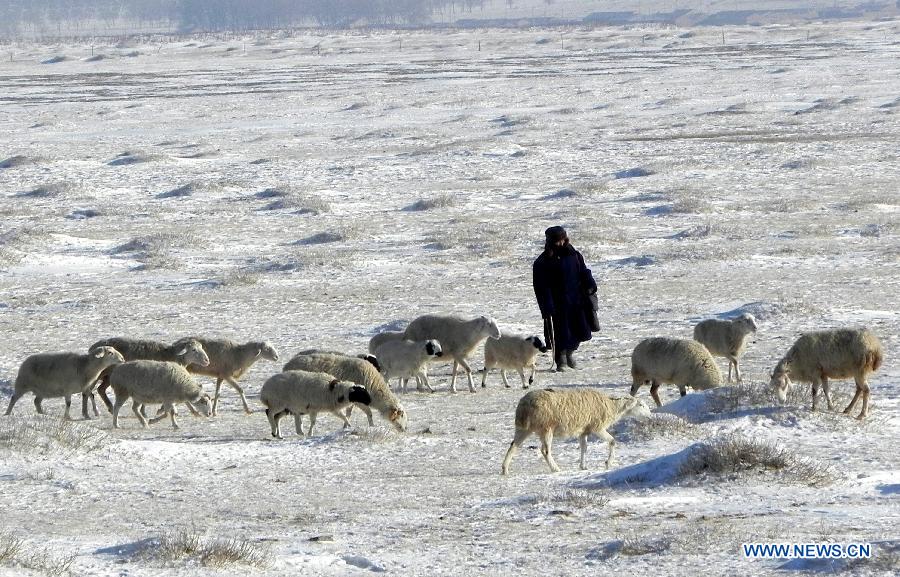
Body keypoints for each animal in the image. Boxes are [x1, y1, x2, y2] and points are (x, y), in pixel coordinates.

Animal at [500, 388, 652, 472]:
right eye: (641, 405)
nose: (650, 416)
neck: (612, 406)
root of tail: (524, 405)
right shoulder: (597, 427)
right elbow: (612, 441)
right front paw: (608, 463)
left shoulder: (584, 430)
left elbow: (584, 448)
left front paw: (583, 466)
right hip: (546, 428)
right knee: (545, 451)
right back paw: (555, 469)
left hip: (523, 428)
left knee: (513, 446)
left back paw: (505, 469)